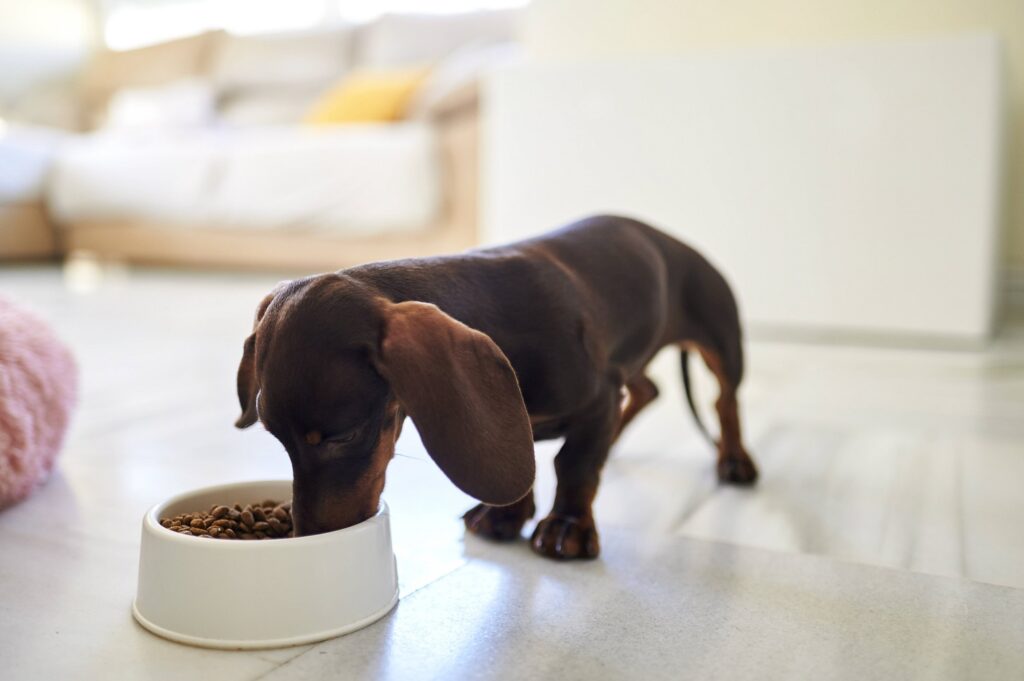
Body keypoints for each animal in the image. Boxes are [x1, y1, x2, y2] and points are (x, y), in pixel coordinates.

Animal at [235, 214, 757, 557]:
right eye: (276, 438)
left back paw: (734, 459)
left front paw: (568, 524)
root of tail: (673, 240)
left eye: (342, 436)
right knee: (649, 389)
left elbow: (575, 465)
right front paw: (506, 513)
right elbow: (524, 460)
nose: (307, 537)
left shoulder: (598, 395)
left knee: (724, 399)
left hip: (721, 341)